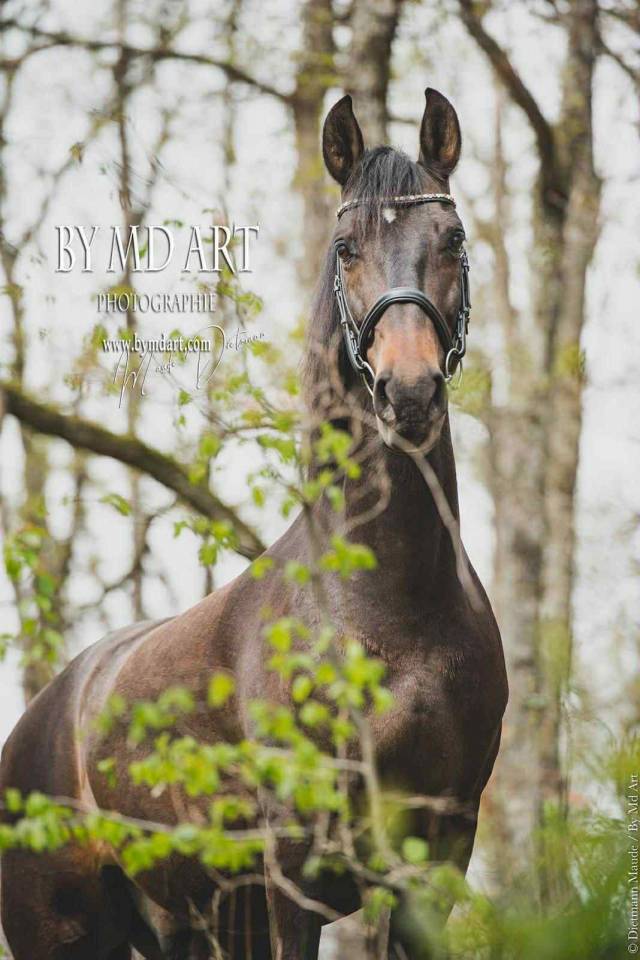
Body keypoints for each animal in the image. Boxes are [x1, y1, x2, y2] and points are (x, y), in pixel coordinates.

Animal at [0, 88, 508, 960]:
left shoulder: (435, 859)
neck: (386, 609)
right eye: (345, 247)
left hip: (181, 924)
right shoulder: (294, 873)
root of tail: (42, 715)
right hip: (63, 936)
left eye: (452, 239)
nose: (408, 391)